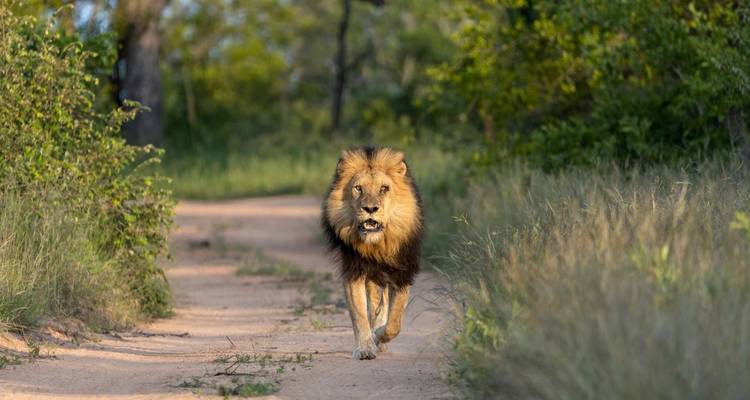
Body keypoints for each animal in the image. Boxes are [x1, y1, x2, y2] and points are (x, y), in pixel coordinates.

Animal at [322, 146, 423, 360]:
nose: (370, 208)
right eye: (358, 188)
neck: (377, 245)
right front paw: (365, 348)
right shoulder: (354, 270)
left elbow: (395, 322)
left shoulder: (403, 271)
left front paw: (379, 335)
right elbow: (360, 314)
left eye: (384, 188)